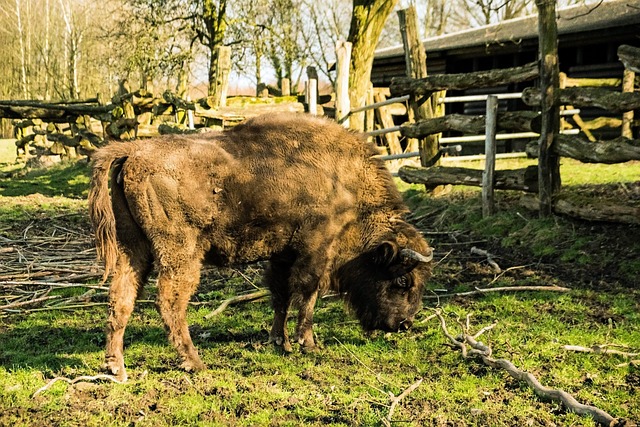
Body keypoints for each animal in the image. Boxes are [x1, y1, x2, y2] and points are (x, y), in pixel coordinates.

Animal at [89, 113, 430, 382]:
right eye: (403, 280)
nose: (405, 324)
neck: (345, 180)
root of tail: (132, 151)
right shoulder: (316, 248)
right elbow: (307, 295)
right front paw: (308, 343)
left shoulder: (282, 255)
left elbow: (281, 296)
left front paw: (280, 342)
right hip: (180, 252)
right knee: (170, 302)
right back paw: (194, 362)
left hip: (133, 248)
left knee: (121, 298)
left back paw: (116, 367)